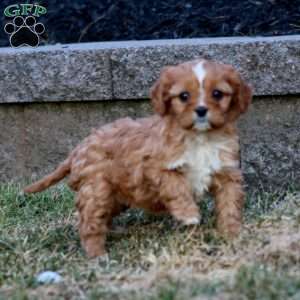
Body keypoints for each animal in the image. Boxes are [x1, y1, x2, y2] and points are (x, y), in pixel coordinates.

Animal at [24, 59, 252, 258]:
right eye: (184, 96)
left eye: (217, 94)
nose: (202, 110)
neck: (200, 137)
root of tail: (78, 148)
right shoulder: (155, 168)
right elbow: (176, 188)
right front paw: (189, 215)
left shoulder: (227, 173)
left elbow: (230, 204)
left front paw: (232, 235)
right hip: (96, 189)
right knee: (89, 221)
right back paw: (97, 254)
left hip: (114, 197)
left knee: (103, 215)